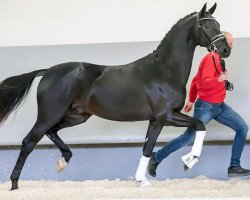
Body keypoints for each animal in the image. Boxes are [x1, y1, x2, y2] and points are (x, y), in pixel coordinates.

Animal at [0, 3, 230, 190]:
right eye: (207, 26)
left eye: (218, 24)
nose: (225, 49)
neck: (164, 71)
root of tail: (47, 71)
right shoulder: (165, 116)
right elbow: (198, 125)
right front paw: (190, 160)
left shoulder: (156, 119)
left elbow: (149, 147)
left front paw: (143, 179)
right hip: (50, 114)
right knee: (29, 142)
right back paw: (14, 184)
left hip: (77, 116)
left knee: (52, 132)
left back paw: (63, 161)